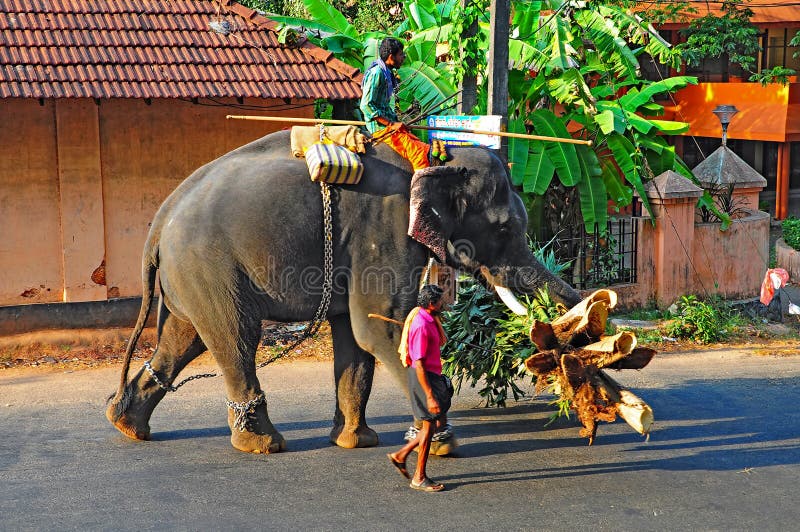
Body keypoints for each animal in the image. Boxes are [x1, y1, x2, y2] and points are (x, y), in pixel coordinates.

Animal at [108, 128, 580, 454]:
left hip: (191, 275)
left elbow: (355, 337)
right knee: (236, 337)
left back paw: (126, 424)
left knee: (182, 338)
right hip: (210, 266)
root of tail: (159, 220)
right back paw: (264, 445)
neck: (436, 153)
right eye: (502, 228)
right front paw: (443, 442)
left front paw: (357, 441)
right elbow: (378, 328)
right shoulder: (385, 230)